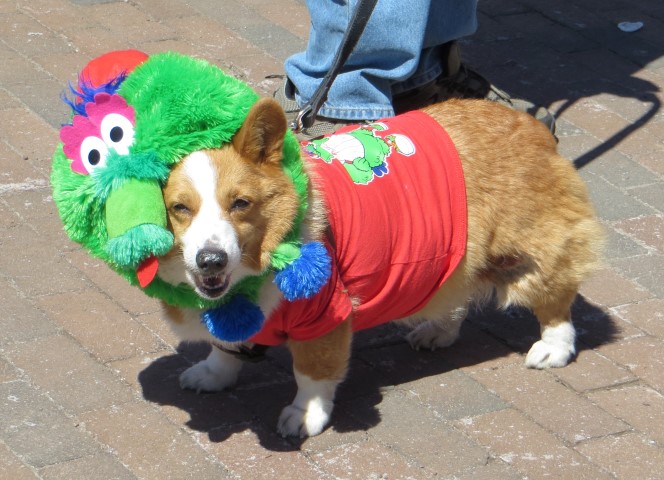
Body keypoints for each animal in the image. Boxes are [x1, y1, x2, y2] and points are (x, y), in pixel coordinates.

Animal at [158, 97, 604, 438]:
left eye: (240, 203)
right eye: (179, 208)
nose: (210, 260)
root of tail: (535, 126)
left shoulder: (325, 317)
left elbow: (312, 375)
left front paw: (305, 416)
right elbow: (224, 346)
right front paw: (214, 373)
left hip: (531, 254)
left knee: (555, 302)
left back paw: (553, 347)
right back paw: (438, 330)